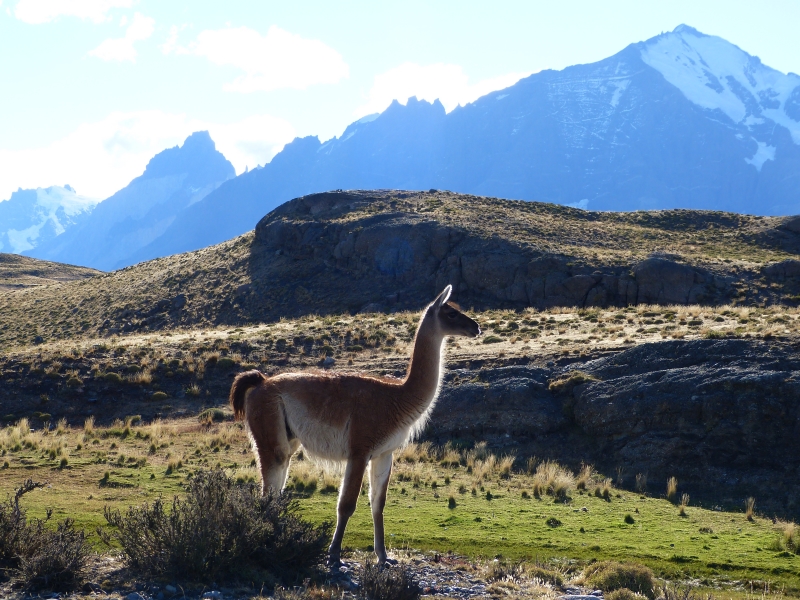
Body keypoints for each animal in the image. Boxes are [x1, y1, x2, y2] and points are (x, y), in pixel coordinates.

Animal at [229, 285, 480, 566]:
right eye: (451, 313)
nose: (476, 327)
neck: (397, 398)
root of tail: (261, 381)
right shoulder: (360, 448)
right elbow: (347, 504)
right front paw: (335, 555)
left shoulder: (384, 453)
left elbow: (378, 503)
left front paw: (383, 557)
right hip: (269, 430)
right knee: (269, 490)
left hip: (287, 438)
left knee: (276, 490)